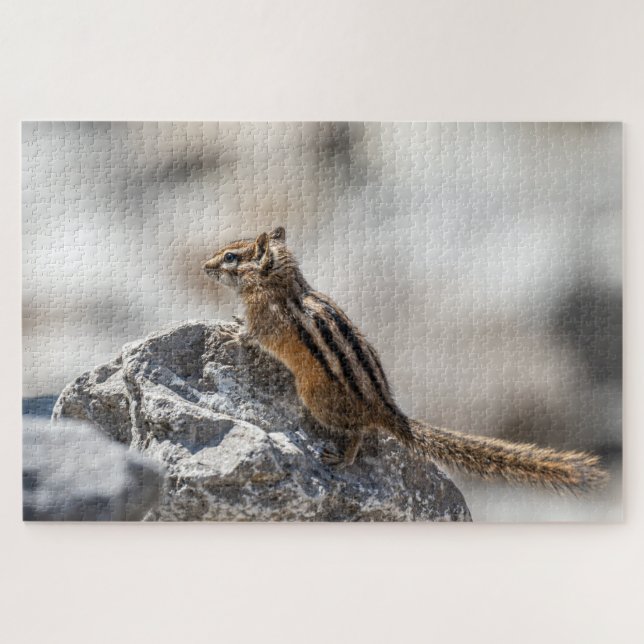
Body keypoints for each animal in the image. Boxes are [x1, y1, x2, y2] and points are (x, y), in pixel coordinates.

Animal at [203, 227, 608, 491]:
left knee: (359, 431)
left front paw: (229, 334)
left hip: (316, 399)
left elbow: (252, 336)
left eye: (230, 257)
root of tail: (385, 407)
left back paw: (342, 458)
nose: (204, 266)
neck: (279, 285)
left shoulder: (265, 320)